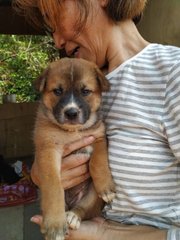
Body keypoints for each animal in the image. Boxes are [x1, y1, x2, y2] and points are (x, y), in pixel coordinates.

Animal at [33, 58, 115, 240]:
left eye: (85, 91)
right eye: (57, 91)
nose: (71, 112)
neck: (71, 132)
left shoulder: (98, 137)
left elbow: (98, 161)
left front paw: (106, 187)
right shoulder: (48, 148)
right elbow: (53, 186)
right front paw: (55, 224)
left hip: (91, 195)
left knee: (83, 209)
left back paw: (73, 216)